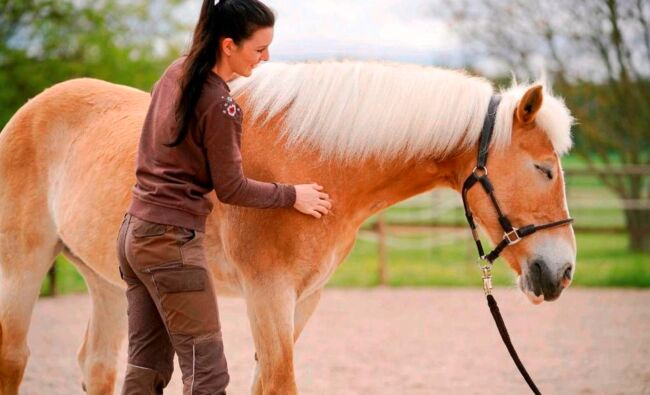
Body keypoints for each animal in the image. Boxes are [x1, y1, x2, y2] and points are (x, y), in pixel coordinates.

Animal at [0, 59, 576, 395]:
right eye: (544, 169)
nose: (563, 271)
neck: (312, 161)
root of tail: (30, 110)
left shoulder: (304, 298)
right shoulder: (267, 293)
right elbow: (280, 382)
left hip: (107, 281)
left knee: (97, 366)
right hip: (22, 267)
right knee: (14, 357)